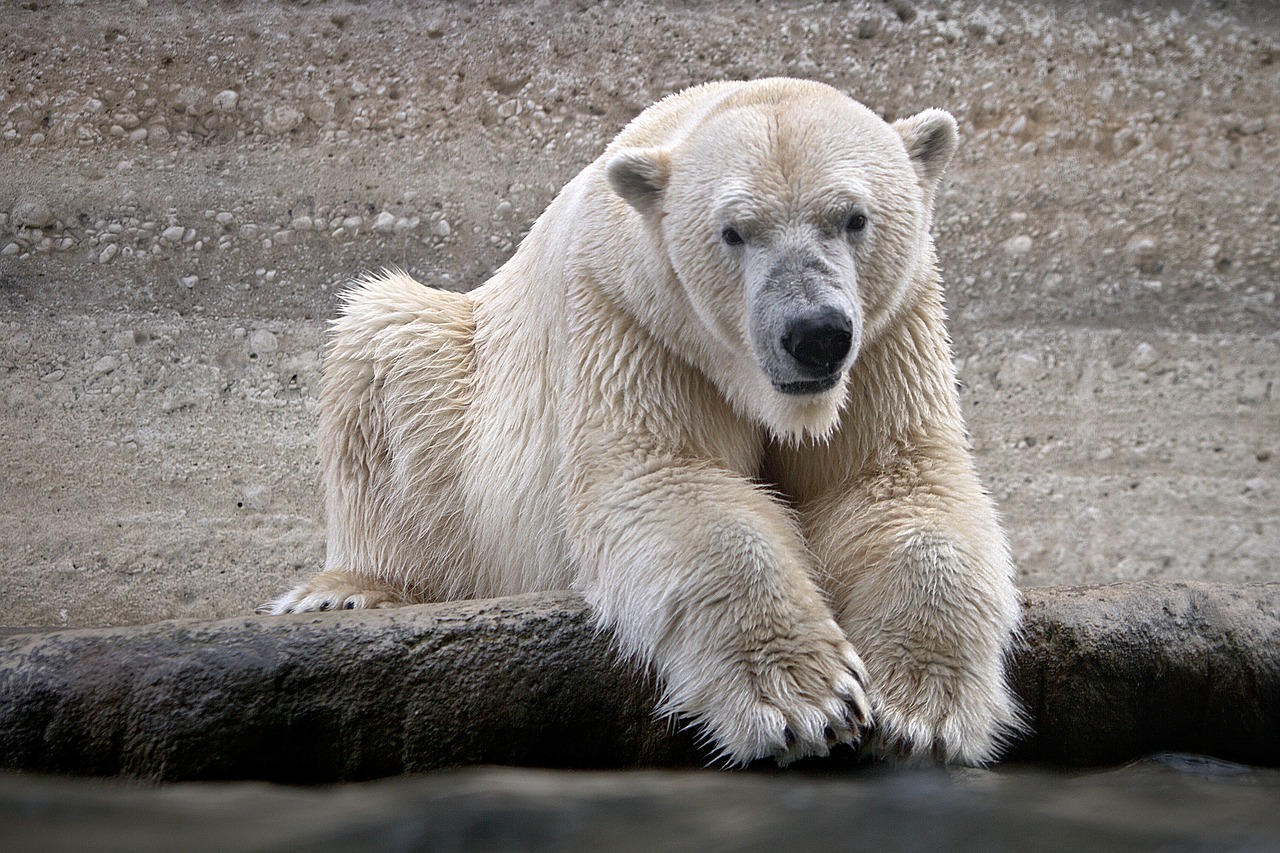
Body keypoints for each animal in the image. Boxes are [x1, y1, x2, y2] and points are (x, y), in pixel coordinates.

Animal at [262, 78, 1022, 767]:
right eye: (734, 231)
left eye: (854, 217)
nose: (814, 334)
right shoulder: (634, 319)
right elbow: (665, 481)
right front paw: (807, 703)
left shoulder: (889, 331)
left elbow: (893, 482)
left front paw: (920, 711)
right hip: (460, 379)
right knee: (385, 344)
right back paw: (346, 590)